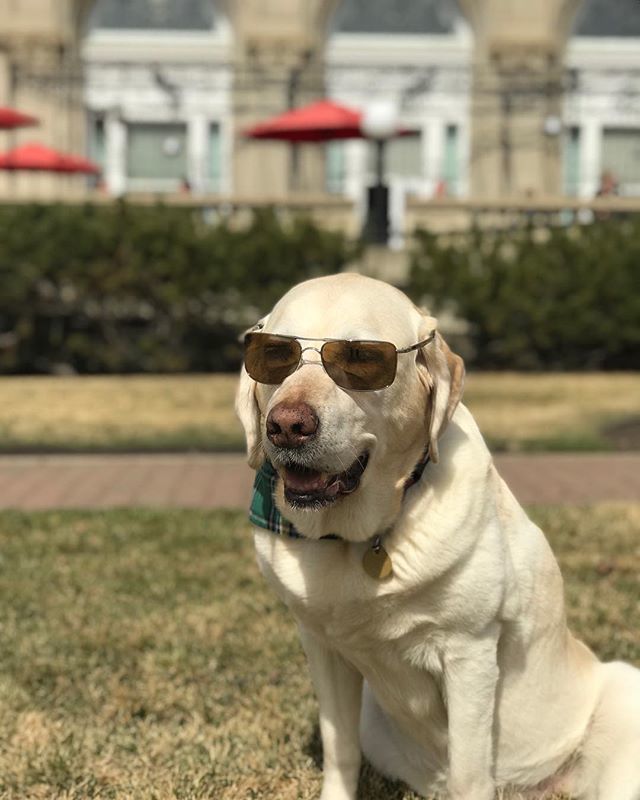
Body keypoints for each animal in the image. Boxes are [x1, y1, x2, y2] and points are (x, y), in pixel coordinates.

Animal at [235, 276, 640, 800]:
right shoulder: (322, 646)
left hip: (623, 694)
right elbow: (339, 749)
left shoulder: (468, 653)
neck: (359, 536)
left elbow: (470, 770)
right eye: (273, 354)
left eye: (360, 357)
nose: (286, 425)